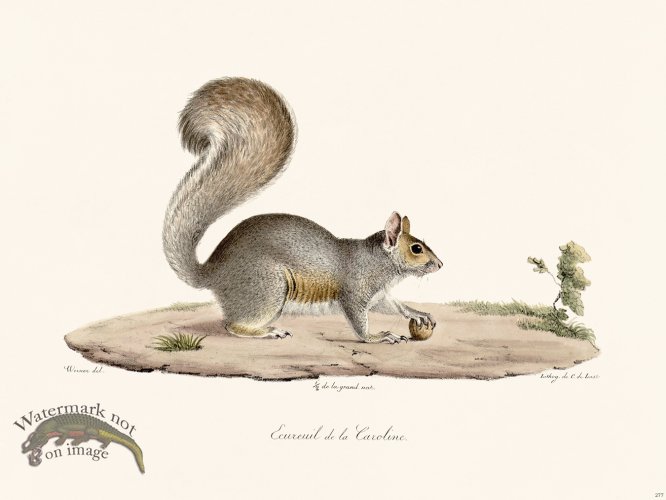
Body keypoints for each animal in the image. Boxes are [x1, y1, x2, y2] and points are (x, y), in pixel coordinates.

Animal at [163, 77, 443, 343]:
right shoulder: (355, 291)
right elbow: (359, 322)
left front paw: (417, 313)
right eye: (416, 248)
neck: (379, 262)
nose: (440, 264)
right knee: (234, 326)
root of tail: (213, 273)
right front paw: (379, 336)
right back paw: (269, 331)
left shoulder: (379, 295)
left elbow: (393, 306)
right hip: (268, 288)